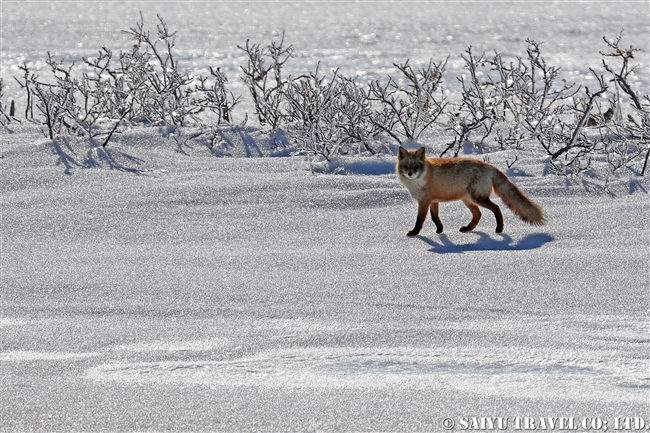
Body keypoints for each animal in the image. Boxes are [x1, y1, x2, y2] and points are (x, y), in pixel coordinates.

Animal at [394, 148, 540, 236]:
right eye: (406, 166)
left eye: (416, 166)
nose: (411, 174)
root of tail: (490, 167)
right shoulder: (433, 201)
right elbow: (435, 217)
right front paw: (440, 230)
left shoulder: (424, 201)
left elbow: (420, 219)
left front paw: (414, 232)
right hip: (467, 200)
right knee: (478, 214)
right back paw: (468, 229)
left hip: (477, 198)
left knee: (496, 208)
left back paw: (499, 228)